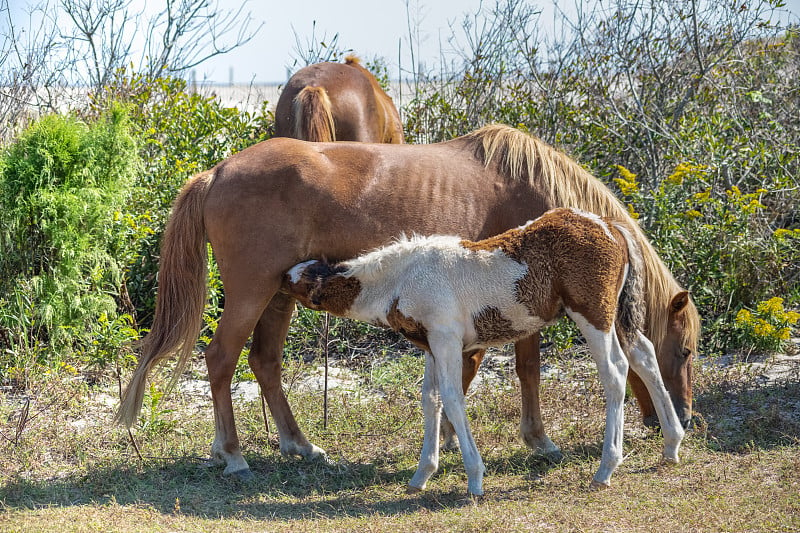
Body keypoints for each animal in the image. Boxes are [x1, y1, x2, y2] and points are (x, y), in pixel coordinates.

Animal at [282, 208, 680, 494]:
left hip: (592, 314)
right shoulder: (432, 345)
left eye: (297, 278)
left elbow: (453, 397)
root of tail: (609, 224)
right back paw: (672, 444)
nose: (278, 278)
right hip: (617, 315)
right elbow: (430, 399)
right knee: (644, 356)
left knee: (615, 372)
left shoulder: (446, 339)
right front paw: (422, 475)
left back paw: (606, 467)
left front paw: (474, 478)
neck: (402, 279)